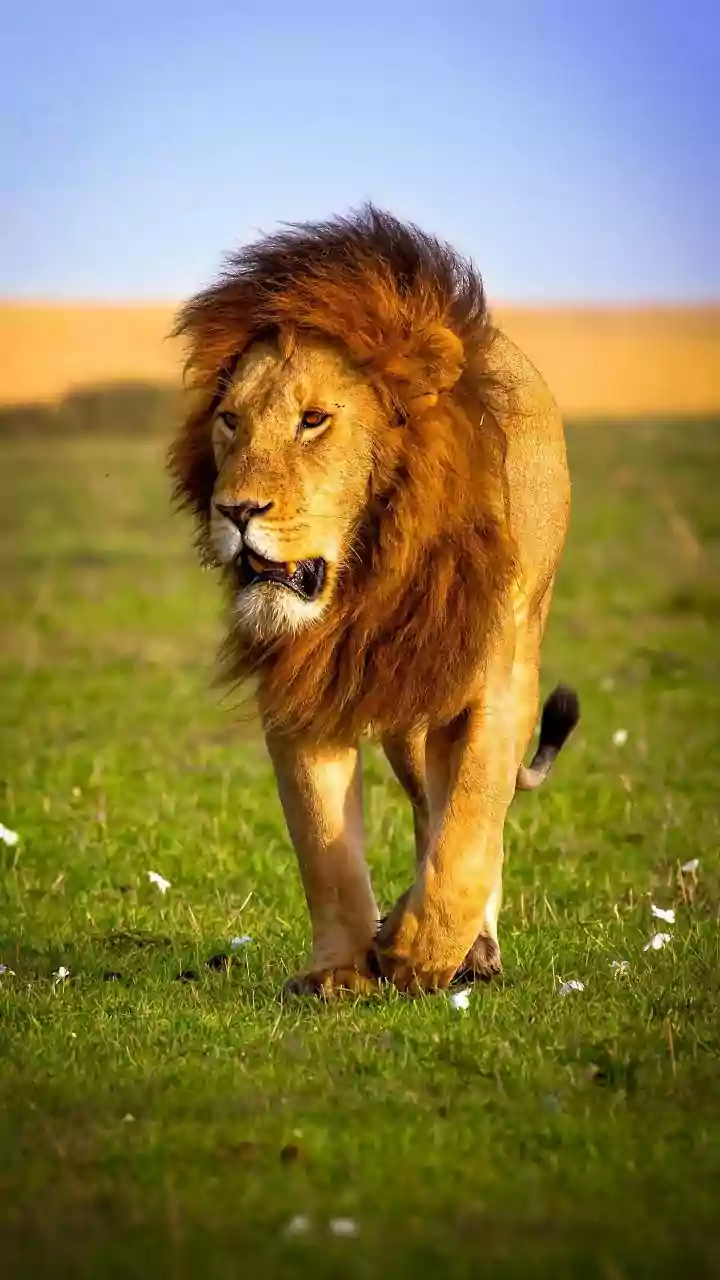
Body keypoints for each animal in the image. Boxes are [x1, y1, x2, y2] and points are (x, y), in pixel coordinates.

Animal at [169, 206, 579, 998]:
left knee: (469, 820)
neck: (369, 575)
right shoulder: (302, 683)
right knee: (427, 808)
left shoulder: (494, 683)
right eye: (230, 420)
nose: (235, 510)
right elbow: (323, 846)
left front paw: (417, 953)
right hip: (409, 726)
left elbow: (470, 828)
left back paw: (471, 948)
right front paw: (339, 971)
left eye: (313, 421)